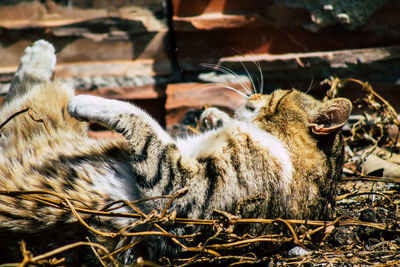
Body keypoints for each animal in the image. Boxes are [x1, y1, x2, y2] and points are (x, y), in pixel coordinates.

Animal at [0, 40, 350, 264]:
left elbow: (140, 120)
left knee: (27, 96)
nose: (255, 94)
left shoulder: (184, 194)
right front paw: (214, 116)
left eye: (278, 95)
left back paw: (42, 53)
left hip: (40, 115)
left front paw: (92, 103)